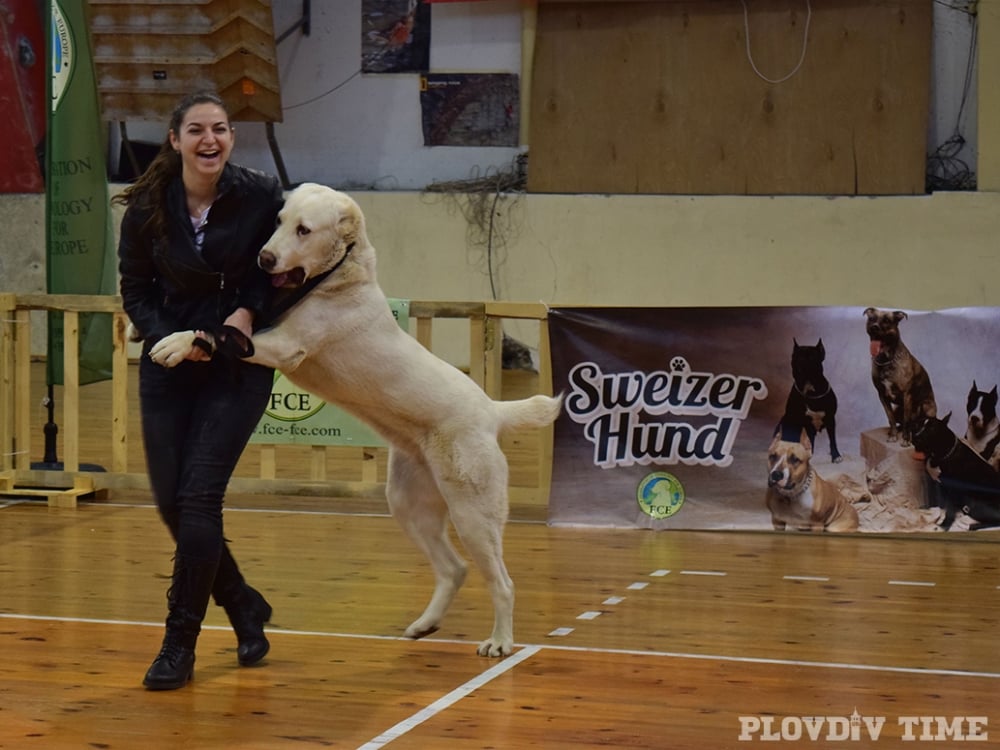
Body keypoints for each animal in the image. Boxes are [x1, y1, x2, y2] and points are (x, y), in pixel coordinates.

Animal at [153, 182, 568, 656]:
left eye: (304, 229)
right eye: (278, 221)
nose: (265, 258)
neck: (337, 276)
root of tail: (491, 411)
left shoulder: (284, 346)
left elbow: (217, 332)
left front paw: (175, 343)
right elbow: (224, 329)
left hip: (473, 514)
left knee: (502, 582)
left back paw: (499, 641)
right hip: (408, 503)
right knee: (453, 568)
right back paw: (425, 624)